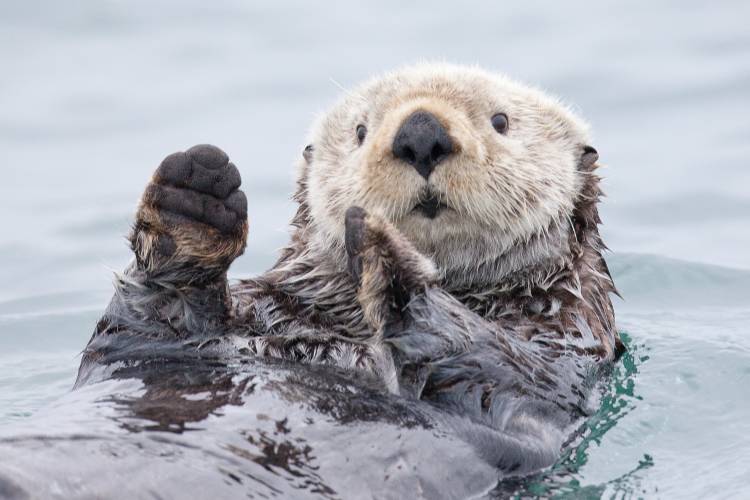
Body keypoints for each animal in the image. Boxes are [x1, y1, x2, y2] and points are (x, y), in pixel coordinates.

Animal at [78, 63, 624, 476]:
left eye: (501, 121)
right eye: (360, 131)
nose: (420, 132)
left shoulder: (560, 351)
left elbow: (500, 363)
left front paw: (385, 251)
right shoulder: (186, 337)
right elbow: (142, 329)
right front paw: (194, 196)